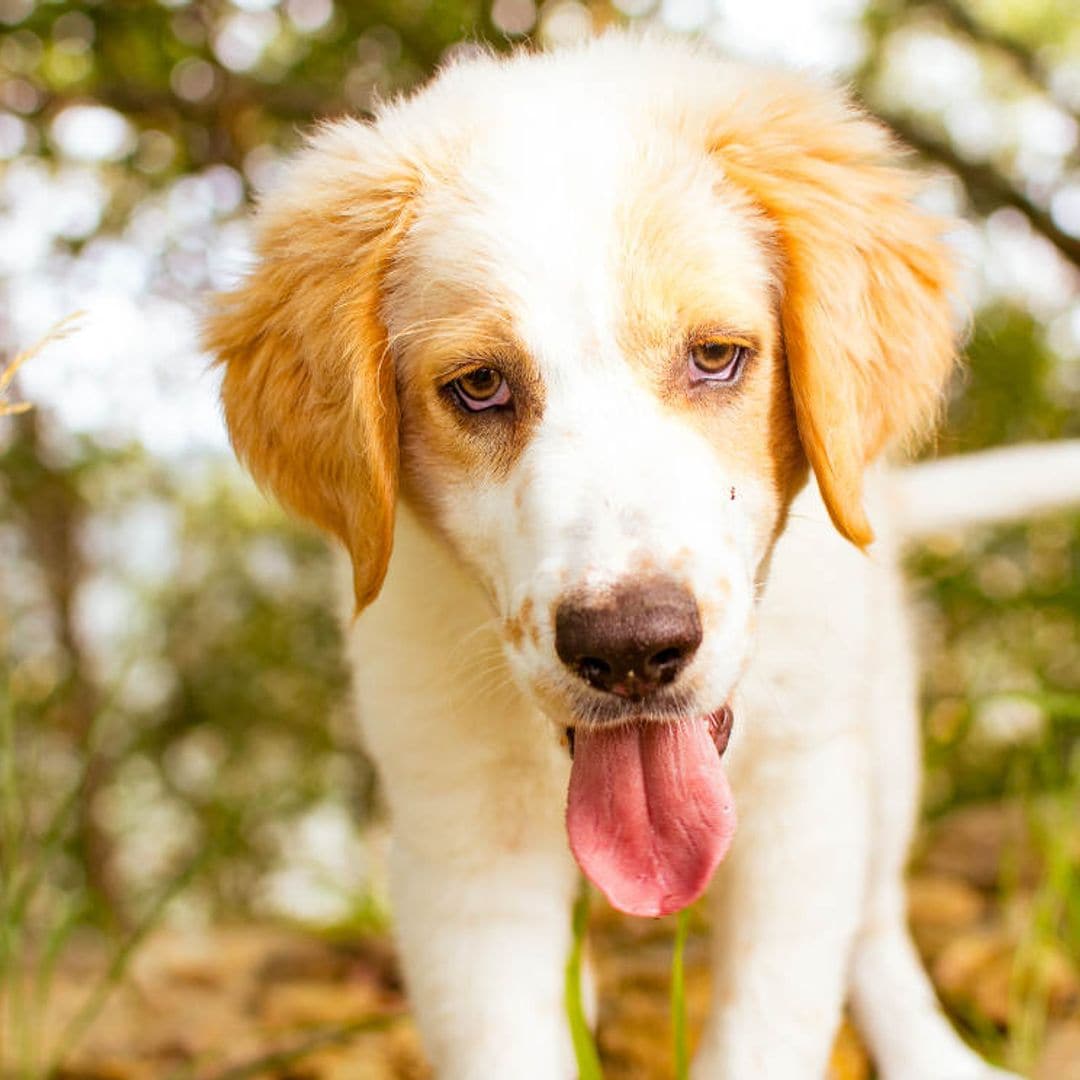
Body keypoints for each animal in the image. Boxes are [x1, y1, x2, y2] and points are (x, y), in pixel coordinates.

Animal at [204, 29, 1080, 1075]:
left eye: (715, 357)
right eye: (479, 386)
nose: (629, 649)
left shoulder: (804, 797)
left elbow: (770, 1025)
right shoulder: (459, 837)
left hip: (879, 735)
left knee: (874, 922)